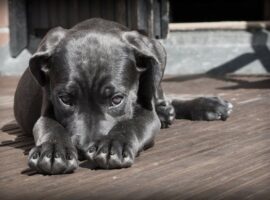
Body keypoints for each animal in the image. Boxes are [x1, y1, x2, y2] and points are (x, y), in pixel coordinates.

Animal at [13, 18, 233, 175]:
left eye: (116, 99)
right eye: (65, 99)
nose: (84, 150)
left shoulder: (146, 112)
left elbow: (132, 123)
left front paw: (113, 145)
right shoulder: (47, 109)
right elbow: (50, 126)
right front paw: (52, 150)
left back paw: (206, 105)